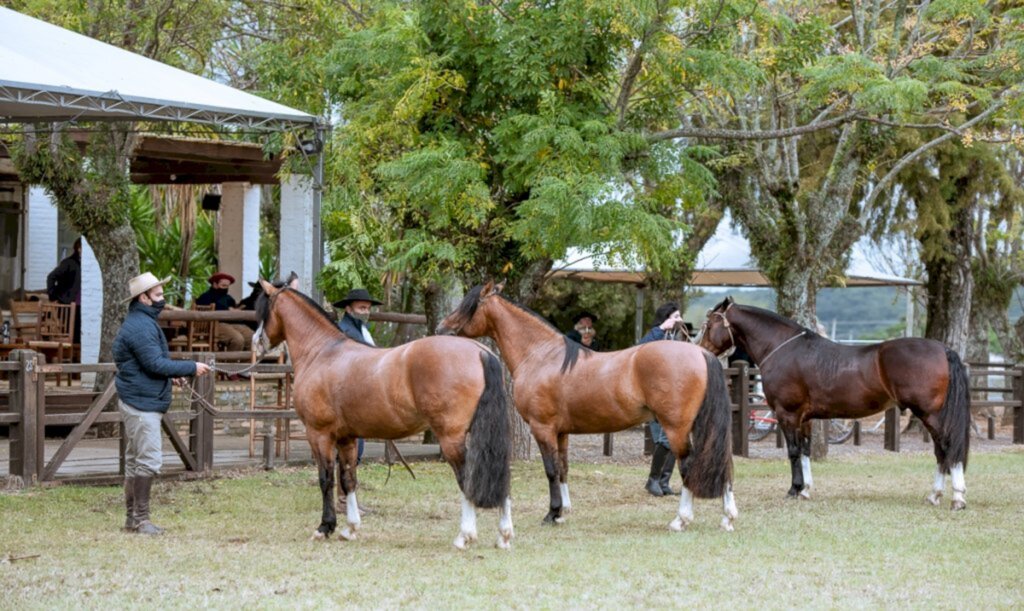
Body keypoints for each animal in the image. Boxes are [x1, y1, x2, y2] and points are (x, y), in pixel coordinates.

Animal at [252, 280, 516, 548]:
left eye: (261, 310)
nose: (257, 342)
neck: (322, 352)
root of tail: (480, 351)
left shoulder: (319, 434)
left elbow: (326, 479)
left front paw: (324, 527)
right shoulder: (347, 438)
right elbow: (348, 479)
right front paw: (350, 528)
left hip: (451, 438)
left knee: (467, 480)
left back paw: (465, 536)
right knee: (501, 479)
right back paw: (503, 536)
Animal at [436, 280, 741, 528]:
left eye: (469, 305)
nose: (441, 329)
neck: (541, 355)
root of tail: (701, 354)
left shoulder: (542, 428)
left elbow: (550, 470)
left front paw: (551, 513)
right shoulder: (561, 432)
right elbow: (562, 469)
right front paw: (562, 512)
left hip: (676, 427)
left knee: (689, 465)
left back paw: (681, 519)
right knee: (722, 462)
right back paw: (728, 517)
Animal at [700, 294, 970, 509]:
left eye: (710, 323)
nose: (701, 351)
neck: (783, 349)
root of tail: (943, 349)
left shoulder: (787, 414)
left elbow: (794, 452)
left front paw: (794, 489)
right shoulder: (804, 418)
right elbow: (806, 451)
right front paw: (806, 490)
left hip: (930, 415)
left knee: (947, 448)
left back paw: (957, 498)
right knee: (941, 452)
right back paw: (935, 495)